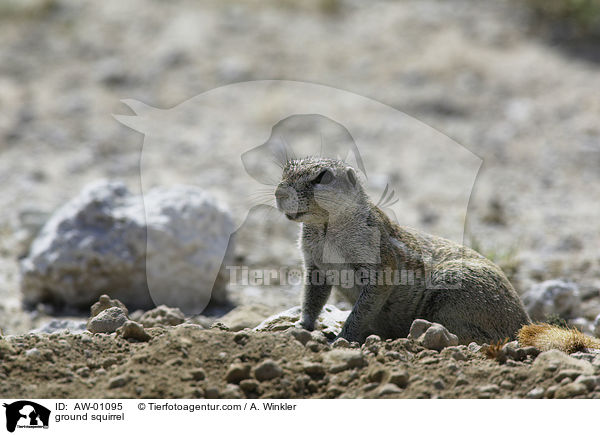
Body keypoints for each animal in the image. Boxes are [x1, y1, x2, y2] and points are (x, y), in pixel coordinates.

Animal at [274, 157, 532, 344]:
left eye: (323, 176)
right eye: (285, 170)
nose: (280, 193)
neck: (326, 228)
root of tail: (524, 320)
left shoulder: (378, 262)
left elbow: (362, 310)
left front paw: (341, 339)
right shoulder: (314, 265)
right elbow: (312, 298)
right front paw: (300, 326)